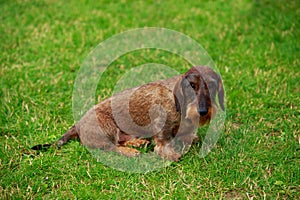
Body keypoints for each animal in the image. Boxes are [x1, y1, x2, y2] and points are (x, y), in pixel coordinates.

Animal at [32, 66, 225, 162]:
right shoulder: (162, 127)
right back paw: (130, 151)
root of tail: (77, 125)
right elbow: (162, 144)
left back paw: (137, 142)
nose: (203, 111)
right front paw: (170, 154)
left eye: (212, 84)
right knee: (111, 147)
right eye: (192, 85)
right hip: (107, 126)